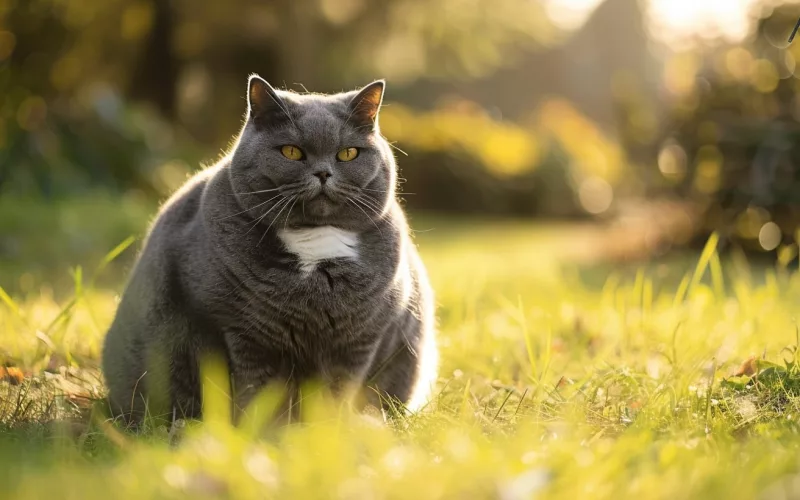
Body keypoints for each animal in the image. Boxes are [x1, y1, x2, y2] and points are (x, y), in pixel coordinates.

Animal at [101, 76, 440, 428]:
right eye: (291, 151)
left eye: (348, 153)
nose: (323, 173)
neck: (314, 242)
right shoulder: (242, 333)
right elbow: (259, 392)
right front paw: (264, 432)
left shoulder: (358, 341)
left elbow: (336, 393)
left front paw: (327, 431)